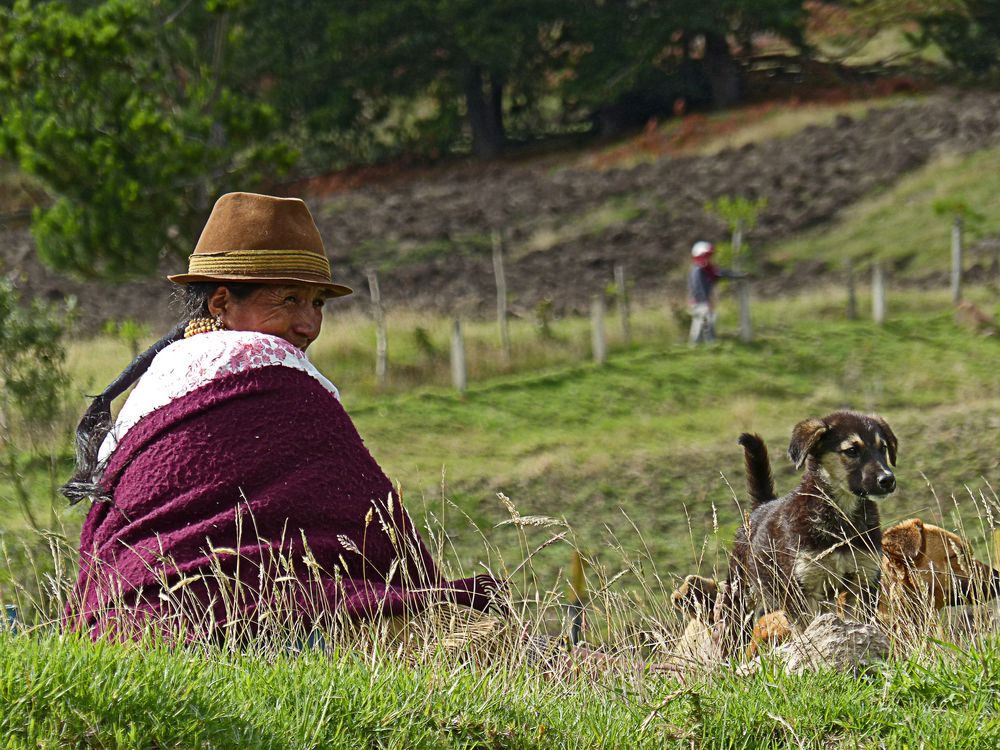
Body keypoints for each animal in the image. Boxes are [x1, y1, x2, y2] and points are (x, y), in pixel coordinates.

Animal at [720, 414, 900, 656]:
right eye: (852, 450)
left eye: (883, 448)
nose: (888, 480)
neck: (841, 516)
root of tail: (762, 506)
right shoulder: (802, 588)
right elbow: (807, 629)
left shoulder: (864, 579)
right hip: (741, 594)